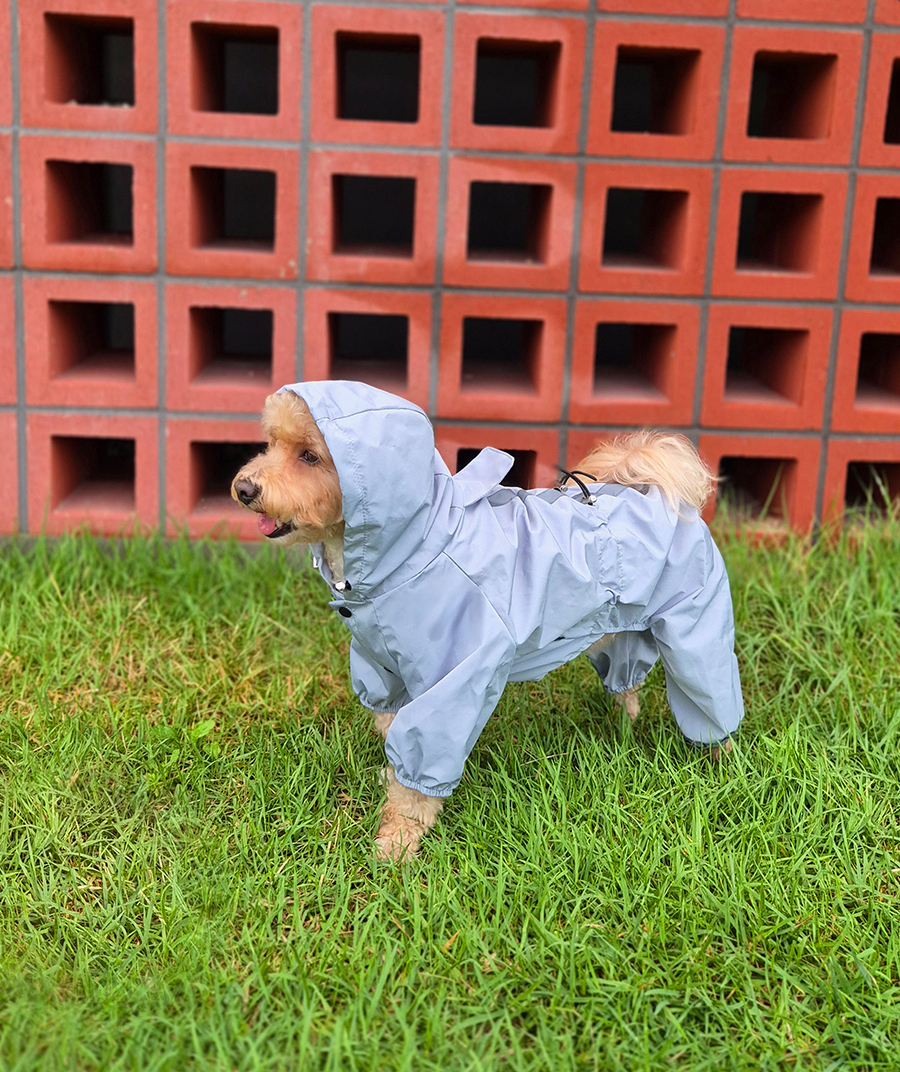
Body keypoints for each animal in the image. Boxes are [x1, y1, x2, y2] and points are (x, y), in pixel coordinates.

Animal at [232, 382, 744, 860]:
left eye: (309, 455)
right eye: (271, 443)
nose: (243, 488)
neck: (418, 548)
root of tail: (659, 491)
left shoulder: (455, 677)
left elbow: (419, 768)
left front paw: (397, 844)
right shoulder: (382, 667)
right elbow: (390, 724)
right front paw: (389, 784)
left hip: (694, 630)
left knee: (709, 693)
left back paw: (721, 761)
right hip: (619, 632)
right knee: (628, 683)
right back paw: (623, 728)